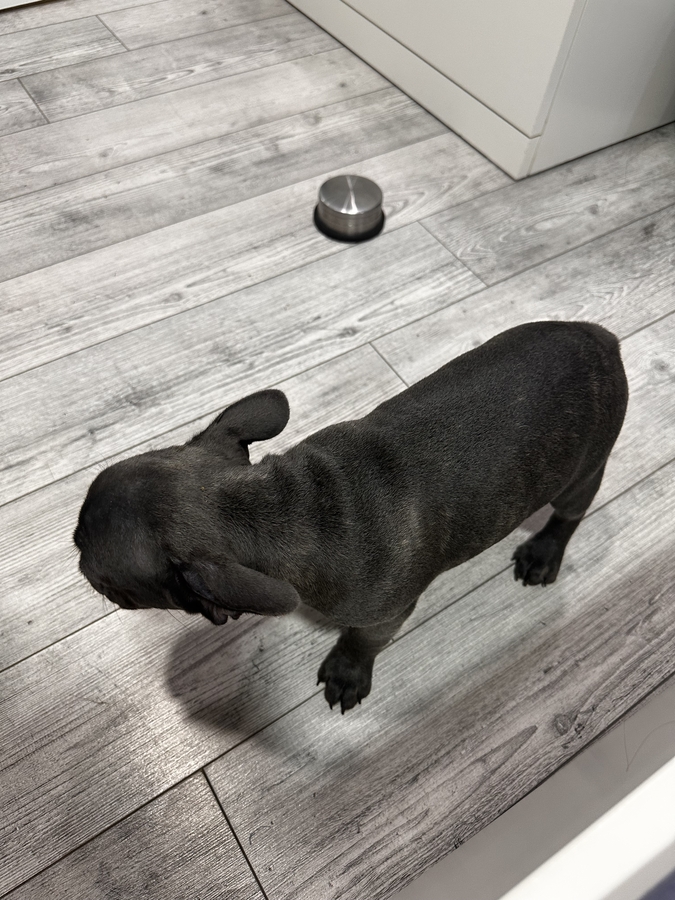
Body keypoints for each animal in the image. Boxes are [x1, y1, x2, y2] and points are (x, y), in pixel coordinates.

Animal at [74, 321, 628, 713]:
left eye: (106, 578)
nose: (72, 542)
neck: (276, 507)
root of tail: (606, 339)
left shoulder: (386, 613)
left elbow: (363, 640)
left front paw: (347, 670)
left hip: (584, 469)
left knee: (571, 514)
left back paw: (544, 552)